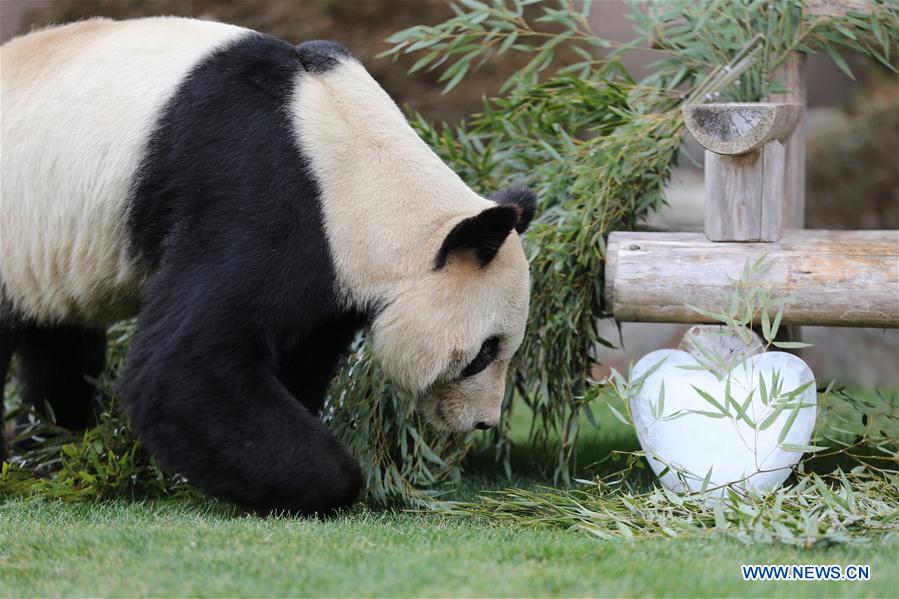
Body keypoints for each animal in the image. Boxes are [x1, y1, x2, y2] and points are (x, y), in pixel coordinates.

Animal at [0, 17, 536, 514]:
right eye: (484, 352)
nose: (484, 421)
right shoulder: (260, 192)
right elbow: (181, 368)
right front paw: (331, 480)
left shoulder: (331, 271)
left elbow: (299, 357)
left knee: (58, 343)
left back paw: (54, 445)